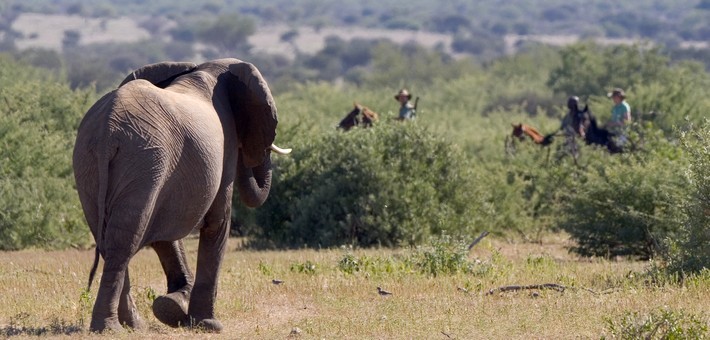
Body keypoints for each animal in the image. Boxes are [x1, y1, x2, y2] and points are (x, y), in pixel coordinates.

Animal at [73, 57, 292, 332]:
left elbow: (164, 233)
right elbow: (217, 223)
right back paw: (110, 328)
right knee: (123, 242)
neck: (206, 68)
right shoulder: (225, 144)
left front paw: (172, 308)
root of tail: (107, 130)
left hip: (90, 163)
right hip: (144, 160)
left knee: (108, 238)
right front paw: (208, 325)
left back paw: (135, 326)